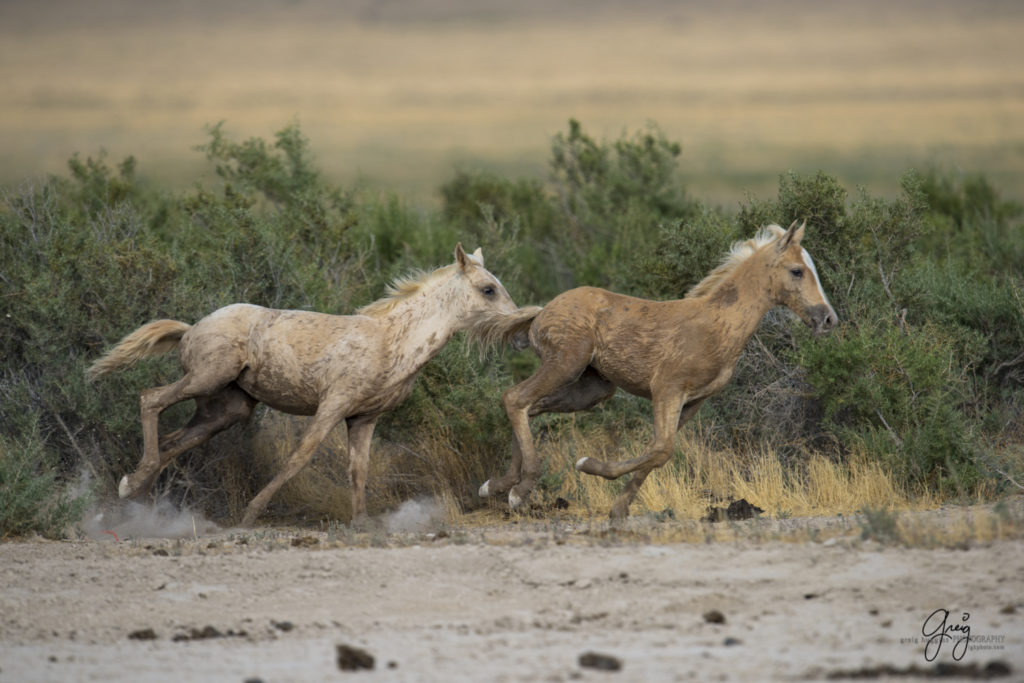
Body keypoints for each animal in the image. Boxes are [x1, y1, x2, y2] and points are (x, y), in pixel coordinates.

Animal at [89, 242, 536, 528]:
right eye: (487, 289)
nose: (520, 335)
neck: (392, 341)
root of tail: (190, 329)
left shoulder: (363, 418)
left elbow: (359, 469)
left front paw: (361, 522)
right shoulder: (332, 406)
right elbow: (298, 458)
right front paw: (250, 515)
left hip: (226, 408)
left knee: (172, 441)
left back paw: (136, 494)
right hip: (205, 377)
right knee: (150, 400)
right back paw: (133, 486)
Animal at [475, 223, 835, 518]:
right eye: (797, 271)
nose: (828, 318)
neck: (717, 325)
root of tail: (541, 313)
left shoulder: (693, 402)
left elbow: (657, 452)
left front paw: (618, 509)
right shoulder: (667, 389)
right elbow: (662, 449)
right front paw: (586, 465)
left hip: (593, 389)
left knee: (529, 406)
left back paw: (496, 485)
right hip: (565, 364)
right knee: (515, 398)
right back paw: (518, 492)